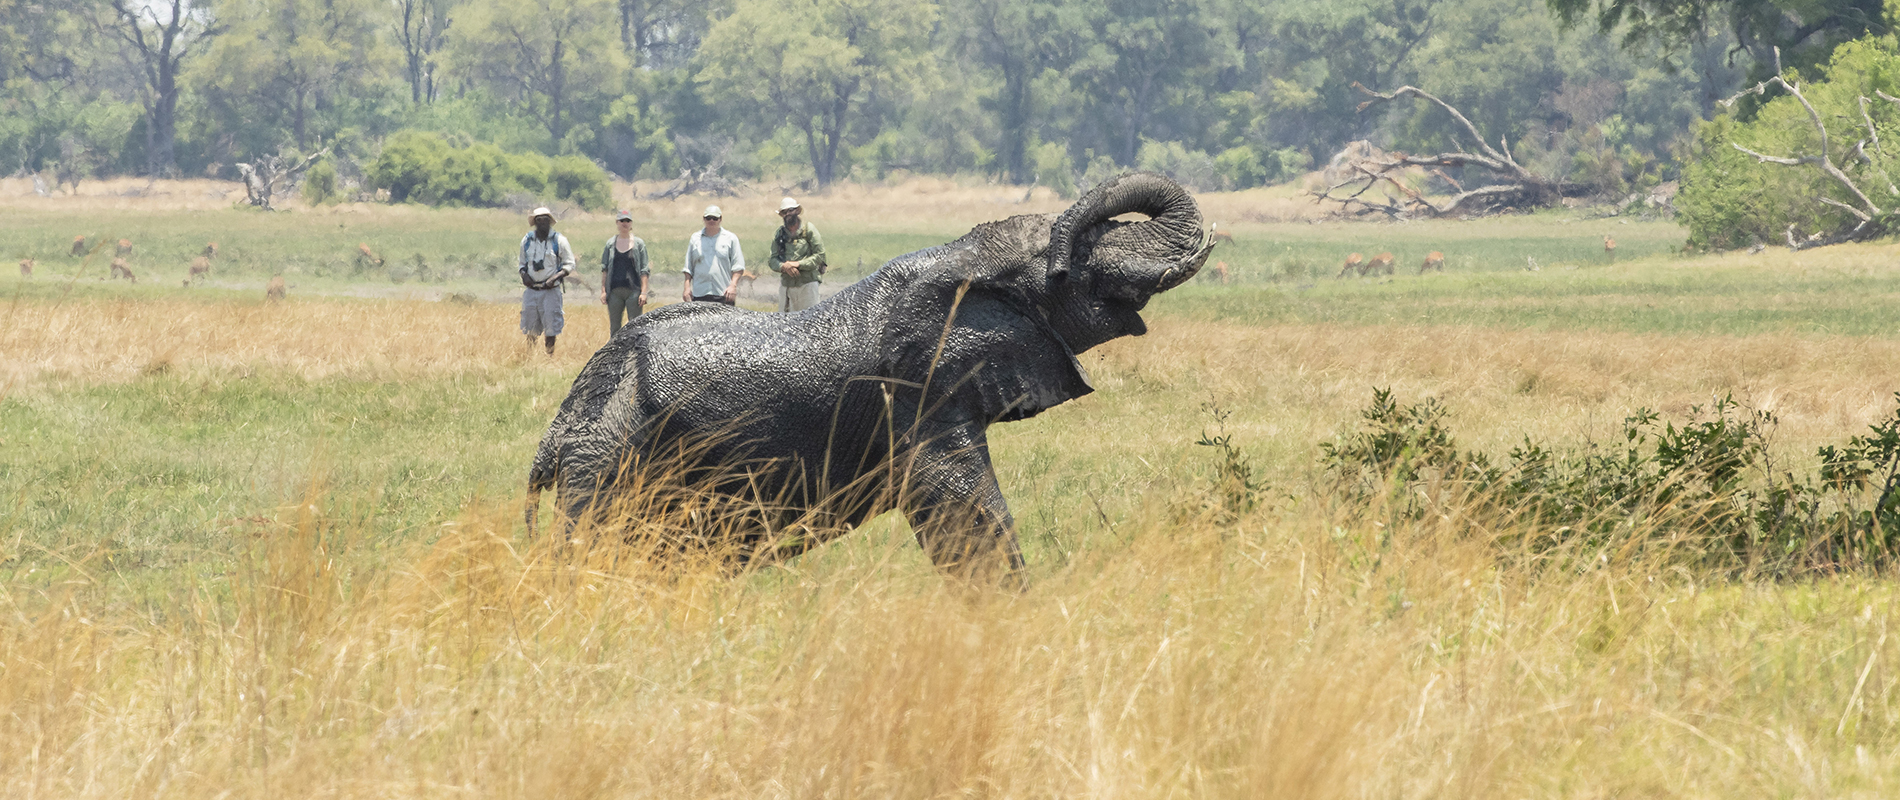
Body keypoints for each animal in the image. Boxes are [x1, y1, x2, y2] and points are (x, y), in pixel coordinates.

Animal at [525, 172, 1216, 583]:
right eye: (1067, 265)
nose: (1068, 254)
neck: (959, 258)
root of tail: (558, 429)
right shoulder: (916, 390)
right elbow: (965, 511)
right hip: (610, 457)